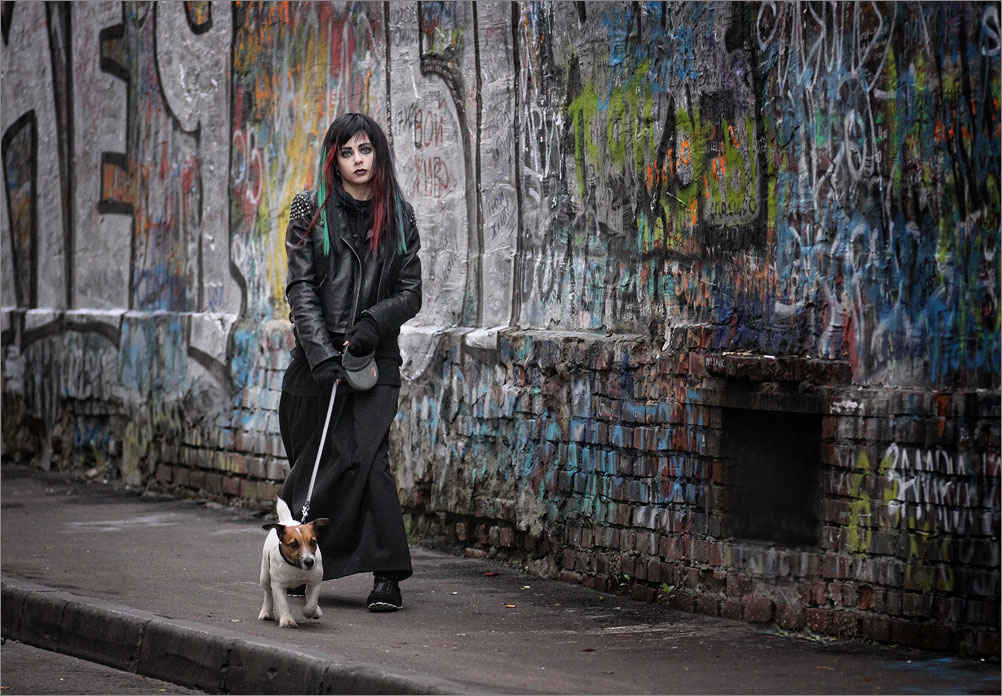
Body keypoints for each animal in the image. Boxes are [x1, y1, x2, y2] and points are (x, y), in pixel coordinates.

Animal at [258, 498, 328, 628]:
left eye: (313, 542)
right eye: (294, 544)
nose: (309, 562)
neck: (296, 567)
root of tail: (287, 521)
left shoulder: (315, 581)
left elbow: (312, 602)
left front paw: (309, 611)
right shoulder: (278, 585)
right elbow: (283, 603)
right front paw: (287, 620)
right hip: (264, 574)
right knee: (268, 593)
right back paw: (266, 612)